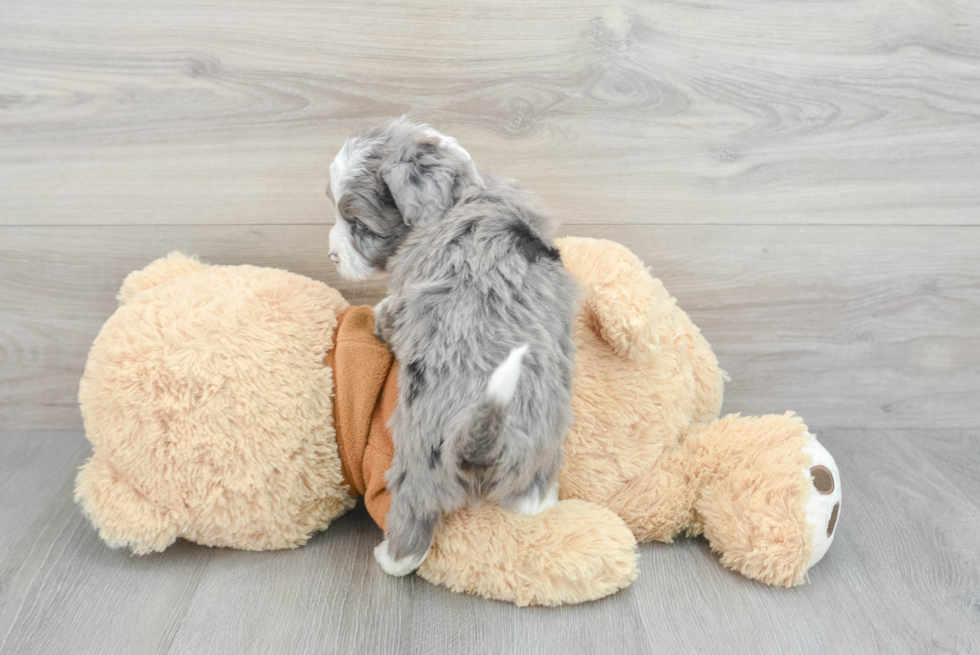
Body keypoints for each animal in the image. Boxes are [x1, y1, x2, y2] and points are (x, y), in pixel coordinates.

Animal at [326, 119, 580, 580]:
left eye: (359, 224)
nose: (332, 255)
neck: (465, 192)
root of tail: (484, 447)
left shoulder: (407, 293)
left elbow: (389, 314)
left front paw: (376, 314)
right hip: (540, 449)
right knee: (531, 497)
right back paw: (541, 502)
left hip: (414, 461)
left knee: (412, 524)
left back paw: (391, 557)